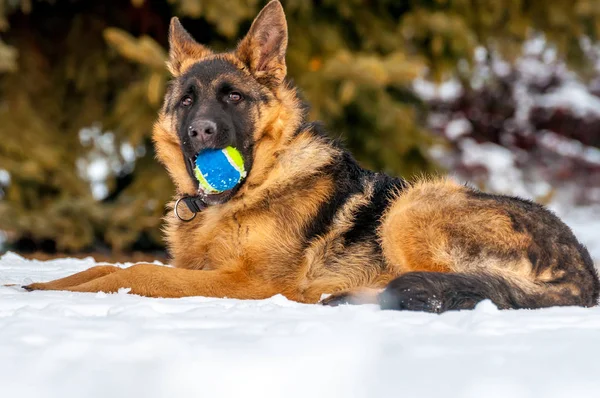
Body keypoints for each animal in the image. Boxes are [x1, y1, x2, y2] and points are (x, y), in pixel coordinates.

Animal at [25, 0, 600, 312]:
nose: (200, 131)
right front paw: (42, 284)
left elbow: (140, 273)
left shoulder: (245, 283)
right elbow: (108, 266)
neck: (255, 186)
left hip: (411, 207)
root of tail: (583, 271)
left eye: (232, 97)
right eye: (186, 101)